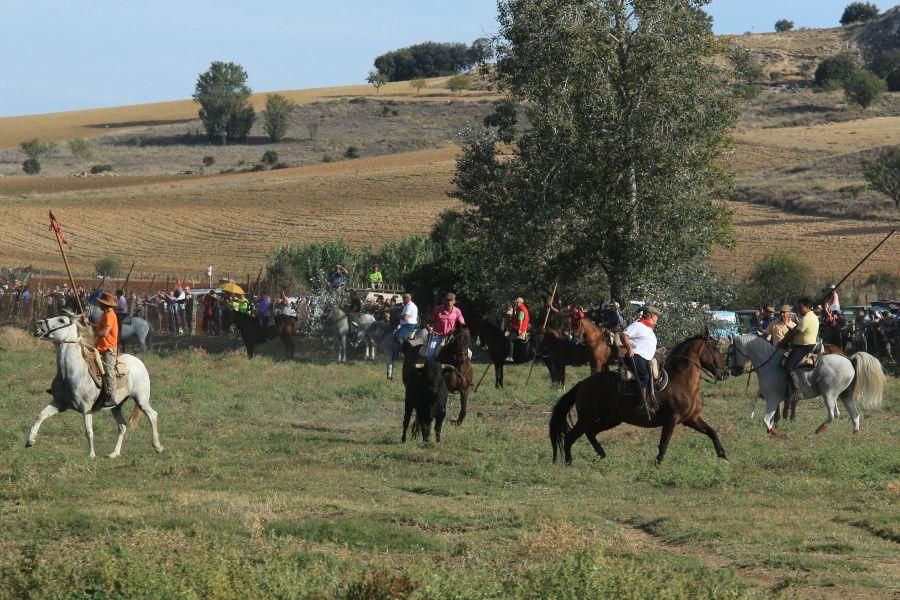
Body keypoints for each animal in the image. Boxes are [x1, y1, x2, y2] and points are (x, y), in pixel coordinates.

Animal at [27, 314, 165, 460]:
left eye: (61, 320)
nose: (39, 323)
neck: (73, 372)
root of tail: (138, 362)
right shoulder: (59, 403)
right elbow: (41, 416)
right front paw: (30, 440)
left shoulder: (86, 408)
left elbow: (89, 431)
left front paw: (91, 454)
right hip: (116, 406)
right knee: (122, 426)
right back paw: (114, 453)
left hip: (141, 400)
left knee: (152, 415)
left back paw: (157, 446)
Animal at [548, 330, 732, 466]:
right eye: (715, 348)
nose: (725, 372)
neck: (683, 382)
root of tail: (582, 384)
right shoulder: (672, 419)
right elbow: (664, 443)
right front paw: (657, 465)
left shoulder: (691, 419)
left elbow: (712, 432)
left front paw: (723, 456)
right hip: (588, 417)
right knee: (570, 437)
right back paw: (568, 462)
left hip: (611, 419)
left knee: (590, 433)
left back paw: (601, 455)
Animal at [724, 332, 884, 436]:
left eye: (730, 352)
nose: (733, 371)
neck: (769, 363)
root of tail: (850, 359)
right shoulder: (775, 400)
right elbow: (771, 419)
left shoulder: (773, 398)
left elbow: (766, 420)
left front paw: (777, 433)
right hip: (845, 395)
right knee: (854, 415)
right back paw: (854, 435)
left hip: (829, 394)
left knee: (834, 415)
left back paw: (819, 430)